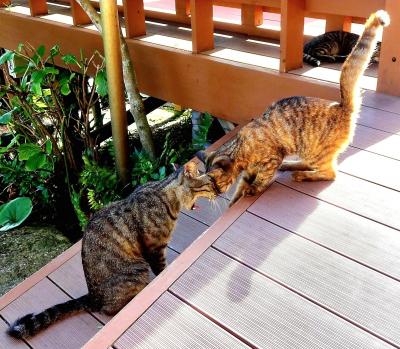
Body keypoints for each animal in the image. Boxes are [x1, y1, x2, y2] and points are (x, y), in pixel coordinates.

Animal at [7, 161, 217, 338]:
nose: (216, 192)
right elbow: (161, 270)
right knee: (110, 309)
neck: (167, 198)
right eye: (209, 182)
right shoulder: (154, 248)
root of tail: (93, 297)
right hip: (138, 270)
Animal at [198, 10, 390, 207]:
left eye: (214, 183)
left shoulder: (271, 159)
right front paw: (235, 200)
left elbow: (262, 178)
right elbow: (240, 188)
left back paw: (301, 175)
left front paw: (253, 189)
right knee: (312, 165)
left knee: (330, 173)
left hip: (315, 152)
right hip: (308, 149)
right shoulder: (249, 171)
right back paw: (291, 165)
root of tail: (341, 105)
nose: (214, 195)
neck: (241, 149)